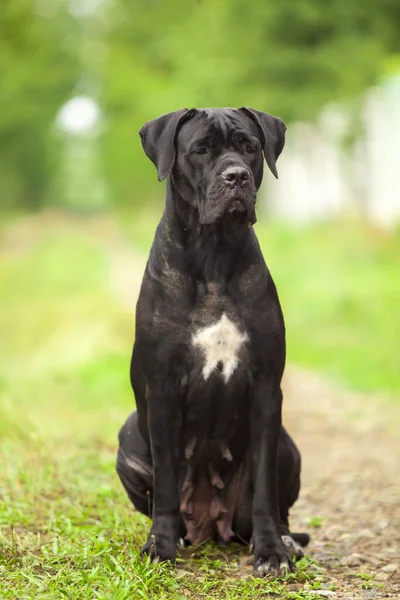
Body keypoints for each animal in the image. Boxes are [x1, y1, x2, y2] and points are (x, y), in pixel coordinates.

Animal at [115, 106, 310, 576]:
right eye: (200, 149)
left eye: (249, 146)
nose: (236, 177)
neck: (213, 253)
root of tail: (210, 525)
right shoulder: (162, 390)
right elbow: (166, 486)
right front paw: (160, 546)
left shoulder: (266, 390)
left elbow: (264, 489)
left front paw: (271, 552)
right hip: (128, 438)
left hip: (287, 444)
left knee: (277, 505)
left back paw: (284, 539)